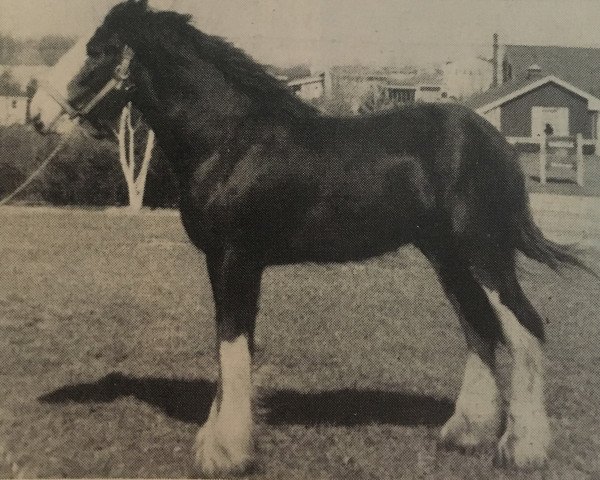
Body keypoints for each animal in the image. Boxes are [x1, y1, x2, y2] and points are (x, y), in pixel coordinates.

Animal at [27, 0, 592, 474]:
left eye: (96, 50)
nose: (36, 113)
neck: (231, 141)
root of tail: (493, 140)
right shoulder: (223, 262)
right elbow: (229, 345)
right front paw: (219, 440)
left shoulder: (236, 259)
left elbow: (232, 345)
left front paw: (225, 453)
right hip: (447, 258)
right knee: (479, 329)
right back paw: (465, 434)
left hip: (484, 255)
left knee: (525, 328)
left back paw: (522, 449)